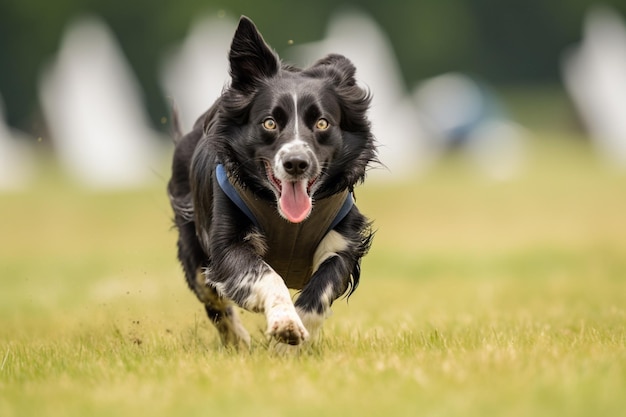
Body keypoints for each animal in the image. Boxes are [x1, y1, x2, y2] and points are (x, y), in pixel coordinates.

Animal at [167, 16, 376, 348]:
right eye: (269, 122)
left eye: (322, 123)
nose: (296, 163)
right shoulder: (228, 246)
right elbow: (267, 276)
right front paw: (285, 322)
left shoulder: (343, 243)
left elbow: (320, 292)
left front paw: (289, 342)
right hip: (194, 251)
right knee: (214, 302)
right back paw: (237, 341)